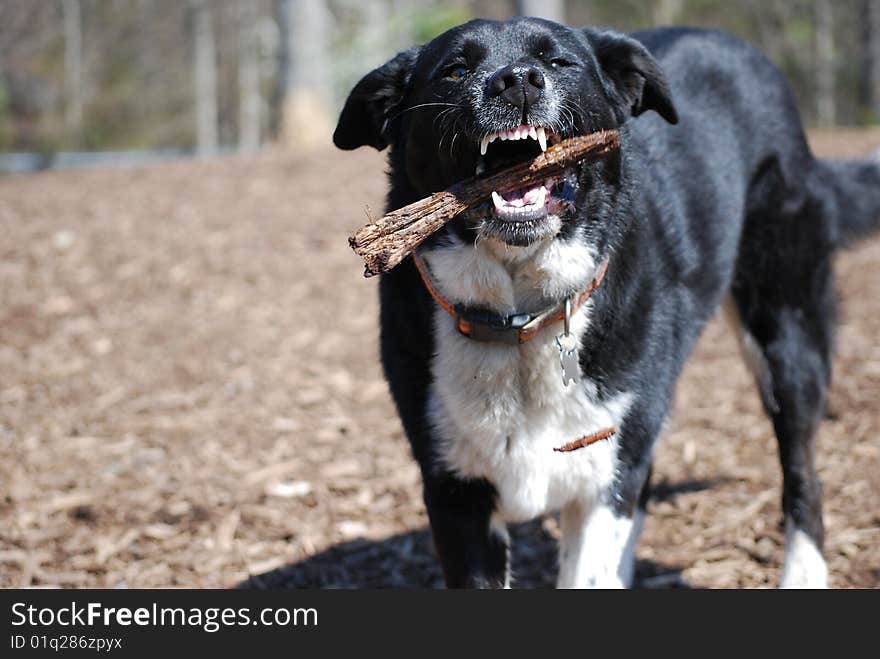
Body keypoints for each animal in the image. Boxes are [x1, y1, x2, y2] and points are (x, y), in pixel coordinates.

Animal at [332, 19, 880, 588]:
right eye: (456, 69)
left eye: (557, 63)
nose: (517, 81)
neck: (519, 314)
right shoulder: (454, 490)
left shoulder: (603, 478)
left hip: (786, 339)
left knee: (803, 475)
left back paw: (803, 571)